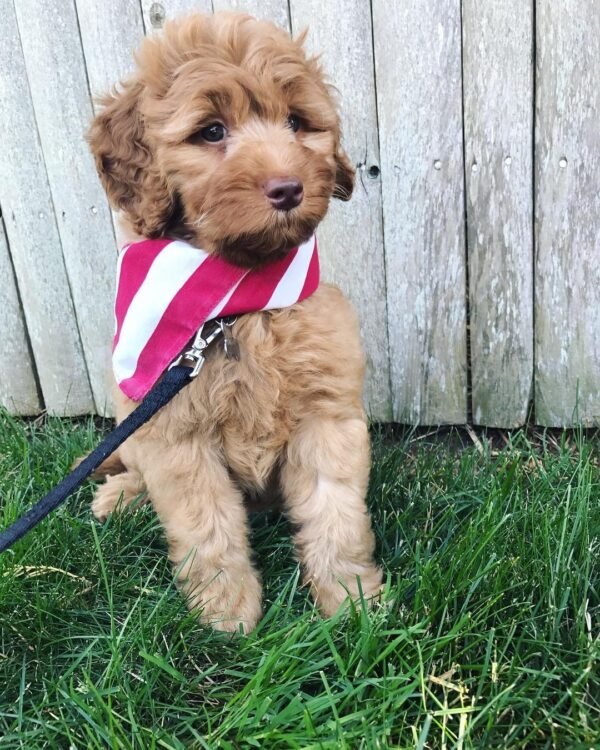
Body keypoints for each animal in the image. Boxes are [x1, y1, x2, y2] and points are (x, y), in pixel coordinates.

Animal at [86, 13, 382, 636]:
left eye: (296, 122)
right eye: (212, 131)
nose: (289, 188)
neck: (241, 303)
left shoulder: (327, 418)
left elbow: (336, 514)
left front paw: (352, 603)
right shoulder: (177, 437)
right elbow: (207, 528)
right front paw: (227, 612)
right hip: (133, 418)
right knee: (136, 470)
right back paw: (120, 497)